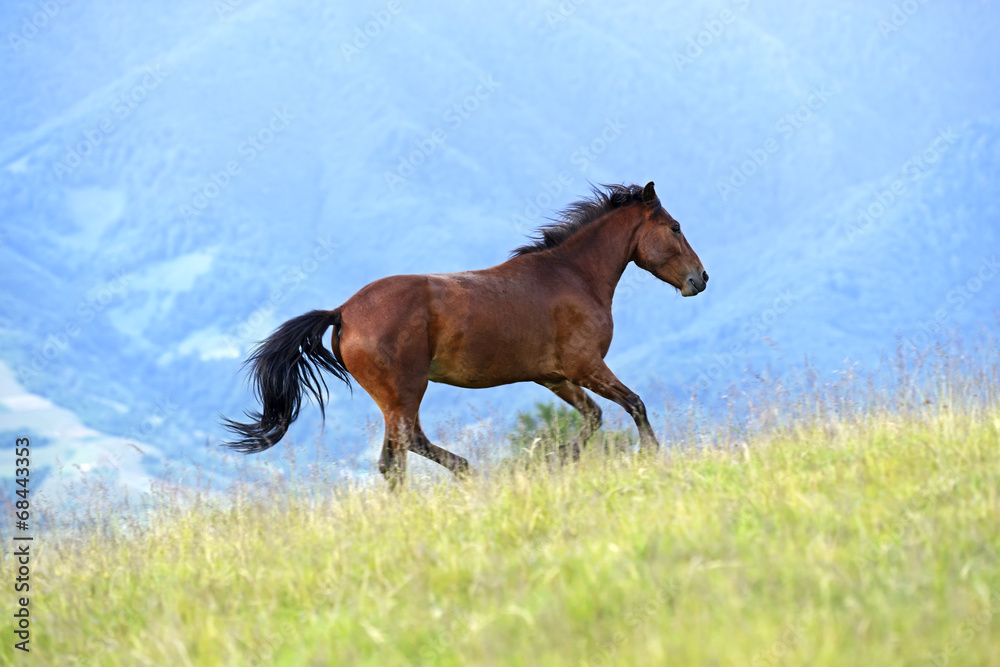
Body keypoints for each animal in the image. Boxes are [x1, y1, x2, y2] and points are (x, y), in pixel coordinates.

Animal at [222, 182, 708, 487]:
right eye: (675, 227)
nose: (700, 279)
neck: (572, 275)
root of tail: (343, 312)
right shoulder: (586, 365)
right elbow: (634, 404)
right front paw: (651, 455)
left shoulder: (554, 376)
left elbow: (594, 417)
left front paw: (555, 460)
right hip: (406, 390)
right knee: (405, 447)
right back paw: (466, 471)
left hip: (394, 397)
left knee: (393, 460)